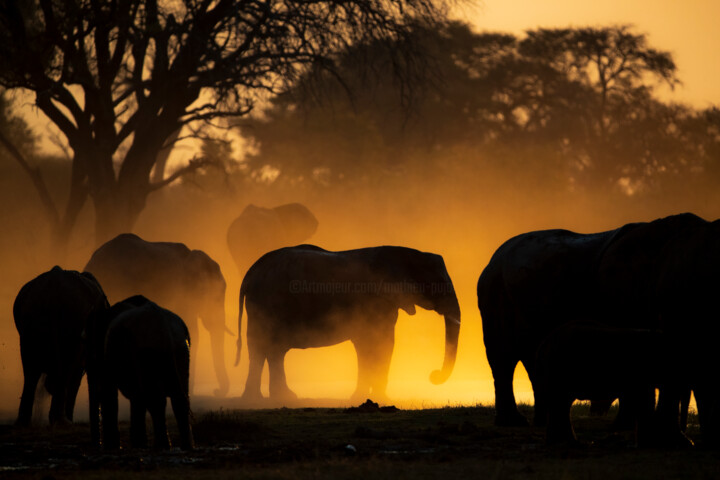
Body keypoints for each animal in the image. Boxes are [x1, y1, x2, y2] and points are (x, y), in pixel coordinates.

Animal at [13, 266, 108, 428]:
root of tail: (54, 288)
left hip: (30, 321)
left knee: (30, 369)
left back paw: (24, 423)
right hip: (74, 320)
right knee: (67, 368)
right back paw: (64, 422)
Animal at [86, 296, 193, 450]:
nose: (97, 446)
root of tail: (162, 323)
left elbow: (110, 391)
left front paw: (116, 447)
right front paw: (138, 444)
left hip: (147, 351)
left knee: (155, 399)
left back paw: (161, 446)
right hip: (181, 349)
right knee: (179, 398)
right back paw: (186, 446)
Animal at [236, 244, 462, 402]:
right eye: (439, 282)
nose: (433, 375)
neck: (405, 253)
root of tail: (250, 272)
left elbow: (383, 343)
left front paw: (376, 398)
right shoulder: (372, 301)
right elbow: (374, 344)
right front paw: (368, 398)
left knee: (267, 350)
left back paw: (267, 398)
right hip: (266, 304)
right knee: (267, 348)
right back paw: (273, 398)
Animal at [536, 322, 668, 446]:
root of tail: (545, 343)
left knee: (561, 403)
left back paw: (561, 441)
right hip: (560, 368)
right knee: (560, 402)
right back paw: (569, 442)